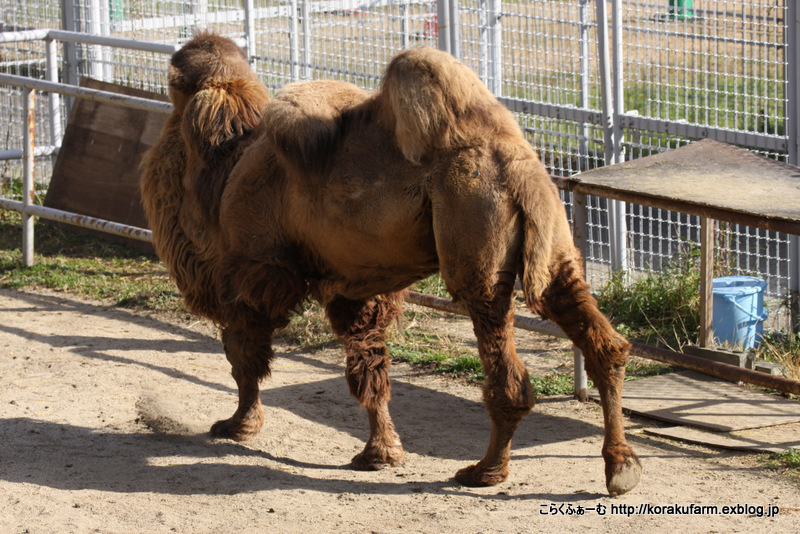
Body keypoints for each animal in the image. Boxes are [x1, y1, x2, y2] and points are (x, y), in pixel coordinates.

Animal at [141, 31, 644, 496]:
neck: (223, 169)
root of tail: (515, 164)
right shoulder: (355, 289)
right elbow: (370, 367)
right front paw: (380, 453)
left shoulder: (254, 273)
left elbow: (244, 354)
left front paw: (238, 426)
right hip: (554, 246)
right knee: (602, 341)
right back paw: (621, 466)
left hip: (474, 235)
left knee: (506, 368)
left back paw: (484, 472)